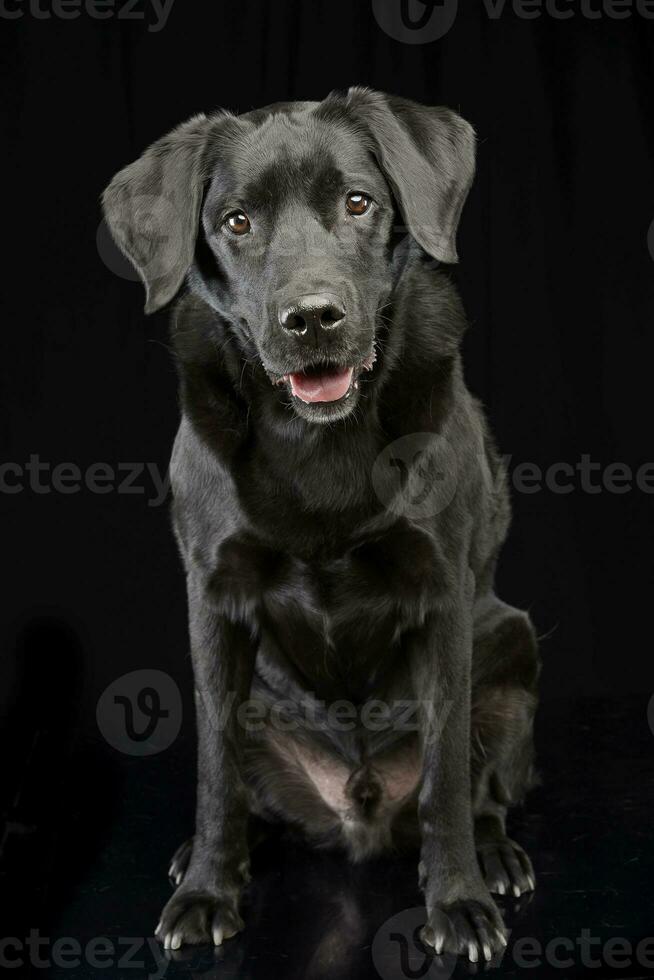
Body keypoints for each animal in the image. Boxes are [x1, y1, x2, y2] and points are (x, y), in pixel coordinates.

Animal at [104, 88, 544, 960]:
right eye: (237, 221)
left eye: (358, 202)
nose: (312, 318)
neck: (318, 442)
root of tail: (357, 809)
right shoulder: (214, 598)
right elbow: (215, 775)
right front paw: (207, 889)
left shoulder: (444, 596)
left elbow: (447, 774)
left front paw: (458, 900)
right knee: (248, 790)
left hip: (512, 645)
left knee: (483, 792)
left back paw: (496, 856)